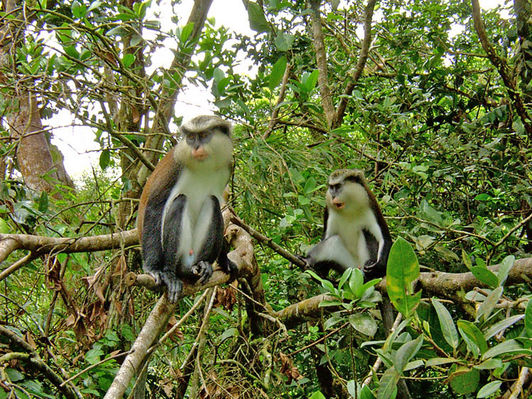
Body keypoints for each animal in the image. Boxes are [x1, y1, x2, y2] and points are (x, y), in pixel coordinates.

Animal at [137, 115, 237, 304]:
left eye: (203, 135)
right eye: (190, 137)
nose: (196, 147)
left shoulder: (227, 166)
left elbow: (219, 204)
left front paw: (225, 260)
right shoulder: (175, 165)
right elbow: (155, 206)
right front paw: (153, 268)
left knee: (212, 201)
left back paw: (202, 265)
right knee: (180, 201)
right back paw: (170, 274)